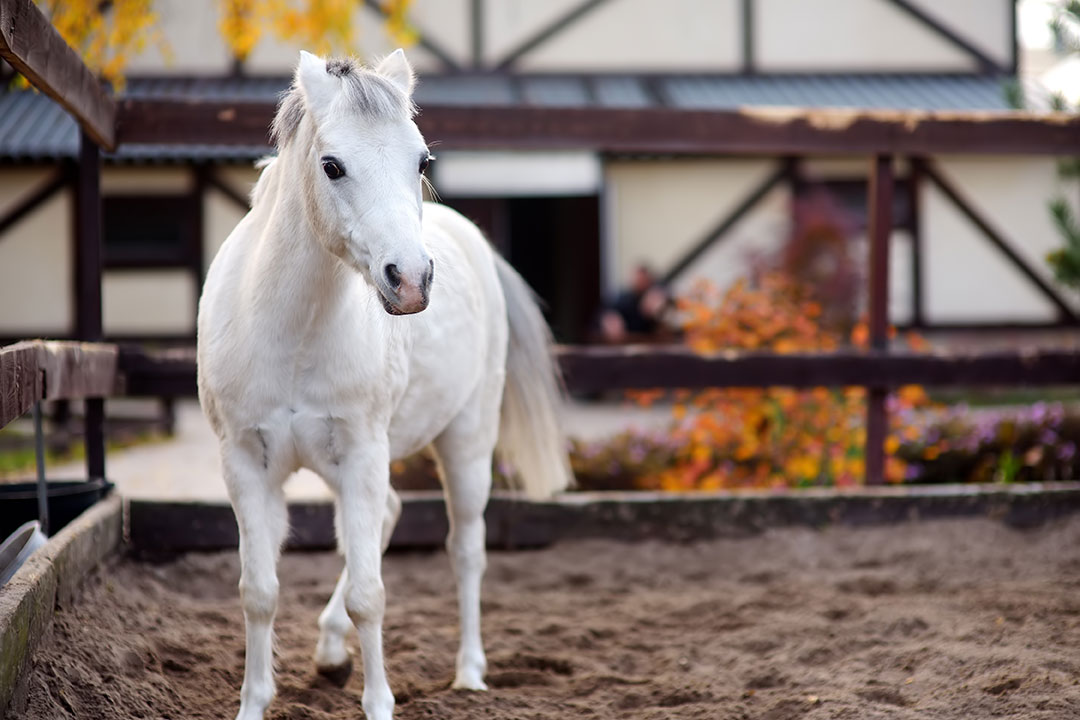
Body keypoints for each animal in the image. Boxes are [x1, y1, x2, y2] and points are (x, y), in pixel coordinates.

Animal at [197, 50, 570, 720]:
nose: (413, 279)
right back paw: (330, 649)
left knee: (465, 549)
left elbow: (370, 595)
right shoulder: (245, 463)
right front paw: (253, 702)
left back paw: (469, 673)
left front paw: (378, 703)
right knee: (388, 518)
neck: (290, 332)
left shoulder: (364, 454)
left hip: (465, 445)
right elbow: (259, 590)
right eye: (332, 165)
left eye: (421, 160)